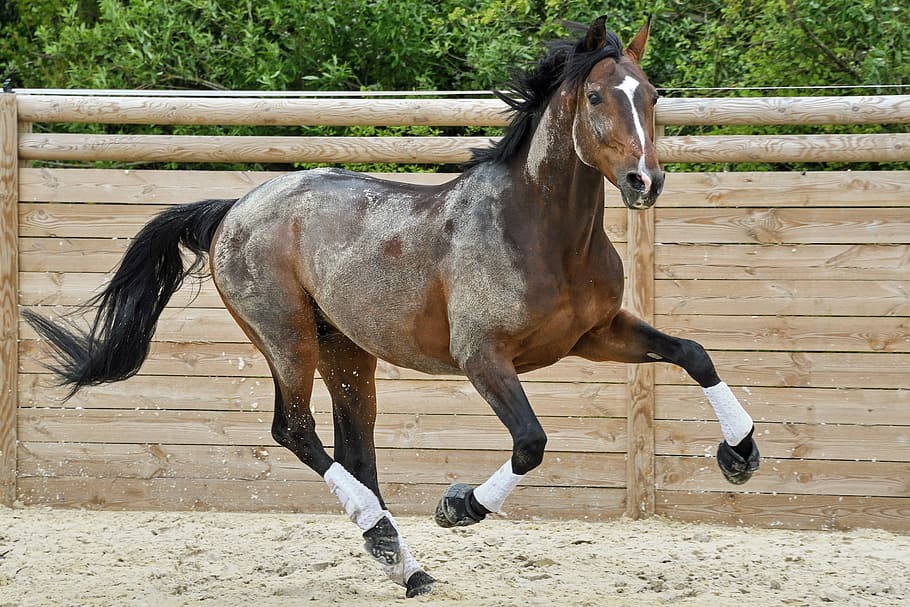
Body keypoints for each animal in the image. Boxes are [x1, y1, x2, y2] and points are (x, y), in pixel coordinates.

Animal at [24, 16, 760, 598]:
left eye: (653, 95)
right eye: (600, 95)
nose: (645, 181)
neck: (545, 233)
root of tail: (234, 208)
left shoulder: (596, 334)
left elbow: (694, 354)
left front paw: (740, 453)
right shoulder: (484, 358)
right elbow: (530, 441)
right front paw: (460, 506)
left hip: (347, 352)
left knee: (356, 450)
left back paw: (406, 566)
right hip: (287, 337)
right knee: (295, 431)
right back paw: (384, 539)